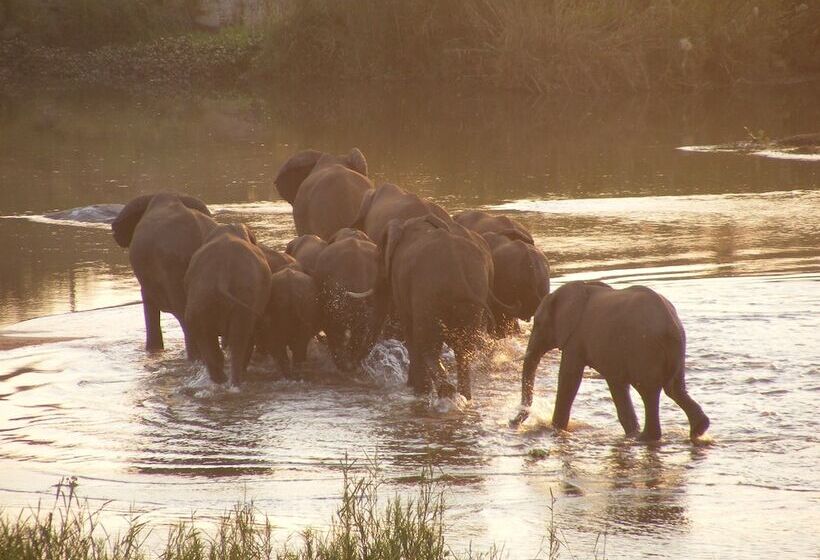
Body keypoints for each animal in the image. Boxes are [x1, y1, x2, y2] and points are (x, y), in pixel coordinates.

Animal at [184, 224, 272, 385]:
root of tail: (222, 275)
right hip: (242, 296)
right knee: (239, 340)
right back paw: (236, 381)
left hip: (200, 300)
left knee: (212, 341)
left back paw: (224, 382)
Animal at [381, 214, 498, 399]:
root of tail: (457, 267)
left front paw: (416, 389)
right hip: (473, 293)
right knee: (463, 349)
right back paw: (461, 395)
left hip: (427, 293)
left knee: (427, 344)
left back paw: (442, 391)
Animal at [512, 280, 710, 442]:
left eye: (538, 324)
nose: (512, 422)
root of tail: (670, 323)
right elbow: (617, 384)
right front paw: (631, 431)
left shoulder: (575, 338)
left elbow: (569, 377)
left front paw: (556, 429)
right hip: (675, 349)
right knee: (674, 388)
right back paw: (698, 429)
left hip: (644, 349)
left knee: (649, 391)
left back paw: (645, 438)